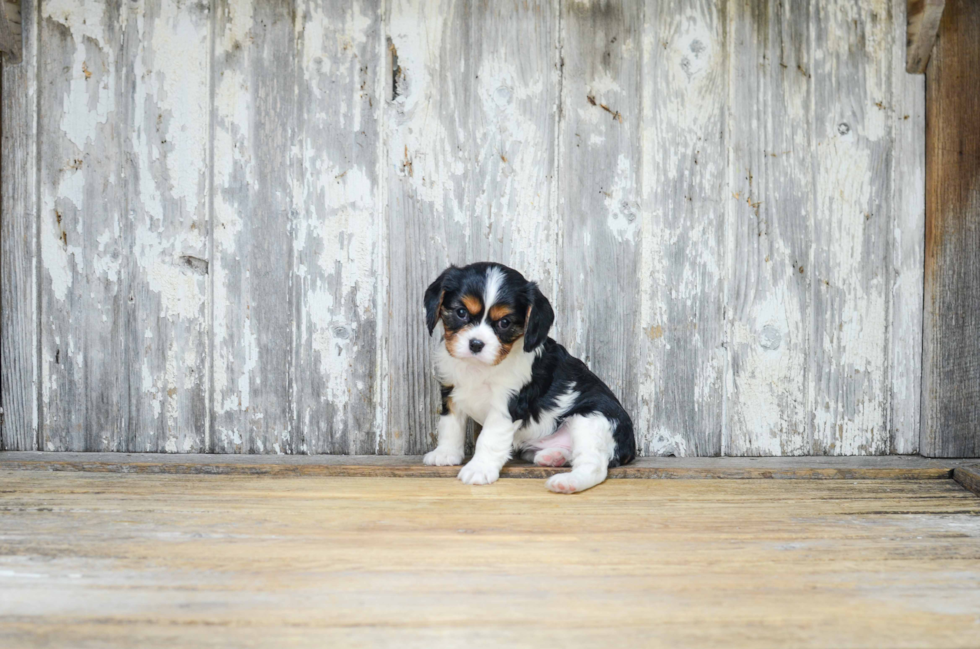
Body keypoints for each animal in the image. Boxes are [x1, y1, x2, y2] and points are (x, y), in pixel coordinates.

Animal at [420, 260, 636, 494]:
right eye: (461, 312)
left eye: (505, 322)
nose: (476, 344)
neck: (480, 368)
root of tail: (631, 446)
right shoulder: (451, 391)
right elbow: (450, 424)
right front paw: (446, 453)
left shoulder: (507, 405)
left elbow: (489, 437)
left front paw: (479, 468)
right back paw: (553, 457)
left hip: (591, 420)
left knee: (594, 466)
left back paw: (567, 482)